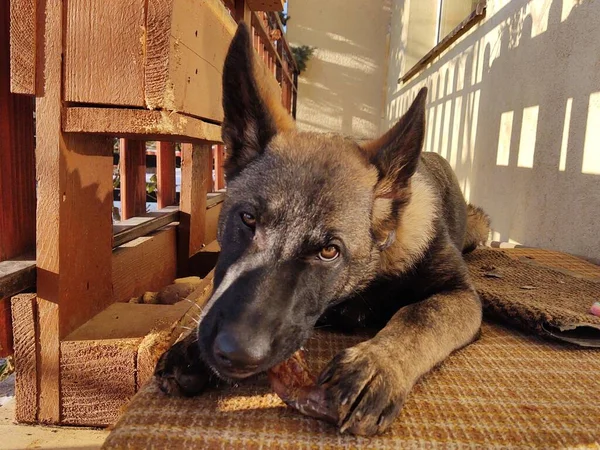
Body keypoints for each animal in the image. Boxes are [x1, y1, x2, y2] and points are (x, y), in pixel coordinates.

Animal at [154, 23, 488, 436]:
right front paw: (190, 348)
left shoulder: (460, 296)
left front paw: (376, 365)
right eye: (248, 219)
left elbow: (420, 315)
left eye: (329, 251)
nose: (235, 353)